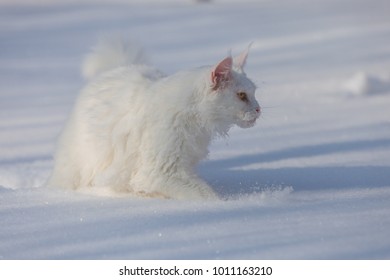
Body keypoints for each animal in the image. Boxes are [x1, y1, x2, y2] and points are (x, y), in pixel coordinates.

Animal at [49, 37, 262, 199]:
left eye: (253, 93)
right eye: (242, 95)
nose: (259, 109)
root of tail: (118, 68)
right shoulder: (161, 171)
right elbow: (205, 195)